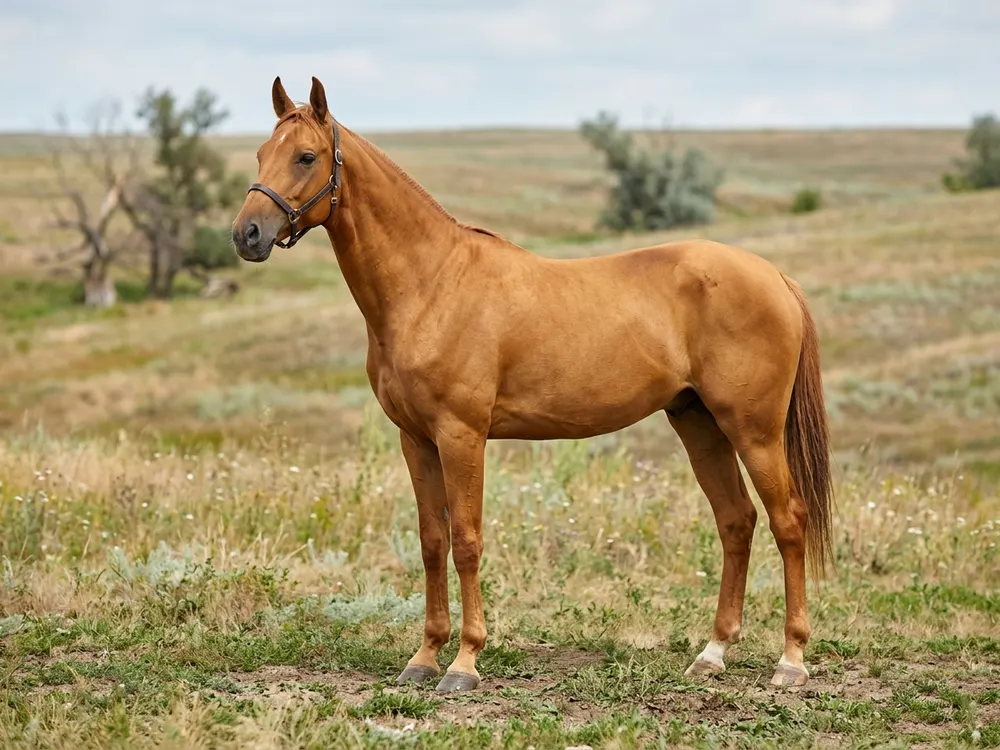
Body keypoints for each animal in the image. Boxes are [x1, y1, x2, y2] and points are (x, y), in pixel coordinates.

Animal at [232, 76, 834, 693]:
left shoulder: (461, 436)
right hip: (699, 423)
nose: (247, 234)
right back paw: (712, 653)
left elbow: (467, 541)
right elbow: (432, 543)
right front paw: (424, 657)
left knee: (789, 521)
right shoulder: (416, 439)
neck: (432, 284)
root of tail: (773, 276)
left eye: (305, 157)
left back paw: (791, 659)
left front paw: (464, 663)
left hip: (754, 430)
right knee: (736, 521)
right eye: (260, 153)